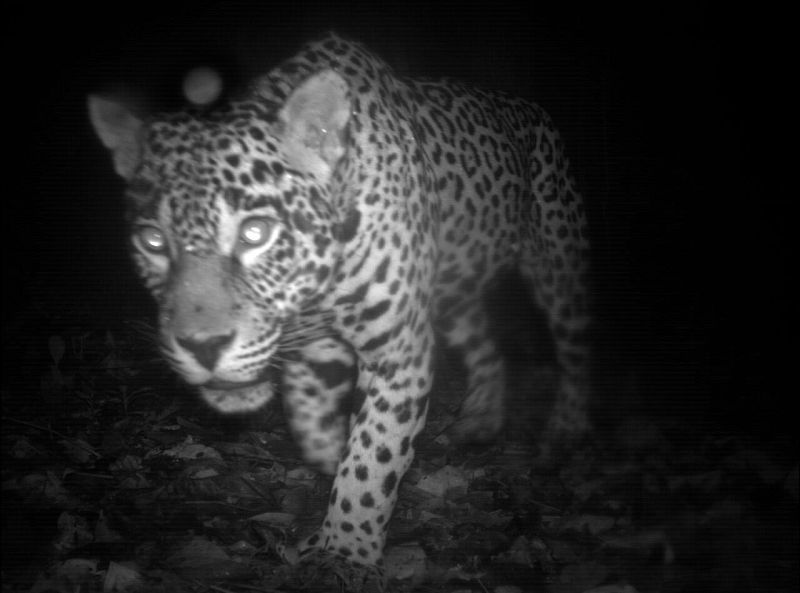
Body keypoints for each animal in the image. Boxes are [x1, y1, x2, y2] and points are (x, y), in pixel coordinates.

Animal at [88, 32, 590, 566]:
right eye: (152, 242)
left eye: (255, 232)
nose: (203, 347)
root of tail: (531, 107)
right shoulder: (315, 349)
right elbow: (310, 421)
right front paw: (330, 471)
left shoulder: (397, 349)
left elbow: (375, 452)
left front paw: (345, 551)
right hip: (454, 292)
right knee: (485, 345)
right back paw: (481, 420)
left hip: (559, 263)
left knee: (576, 349)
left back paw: (564, 435)